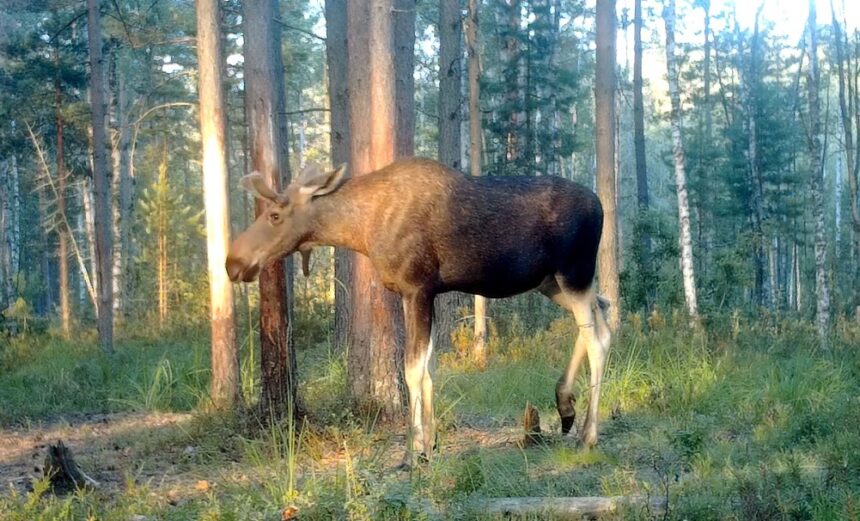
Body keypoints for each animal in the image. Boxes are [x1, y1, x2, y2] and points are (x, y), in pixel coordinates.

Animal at [227, 156, 612, 462]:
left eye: (275, 214)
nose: (233, 262)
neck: (361, 231)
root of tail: (601, 206)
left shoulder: (417, 288)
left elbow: (412, 369)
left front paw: (413, 454)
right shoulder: (421, 293)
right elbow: (428, 369)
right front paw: (430, 444)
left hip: (573, 273)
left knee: (597, 339)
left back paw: (588, 435)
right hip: (553, 283)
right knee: (603, 317)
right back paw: (565, 406)